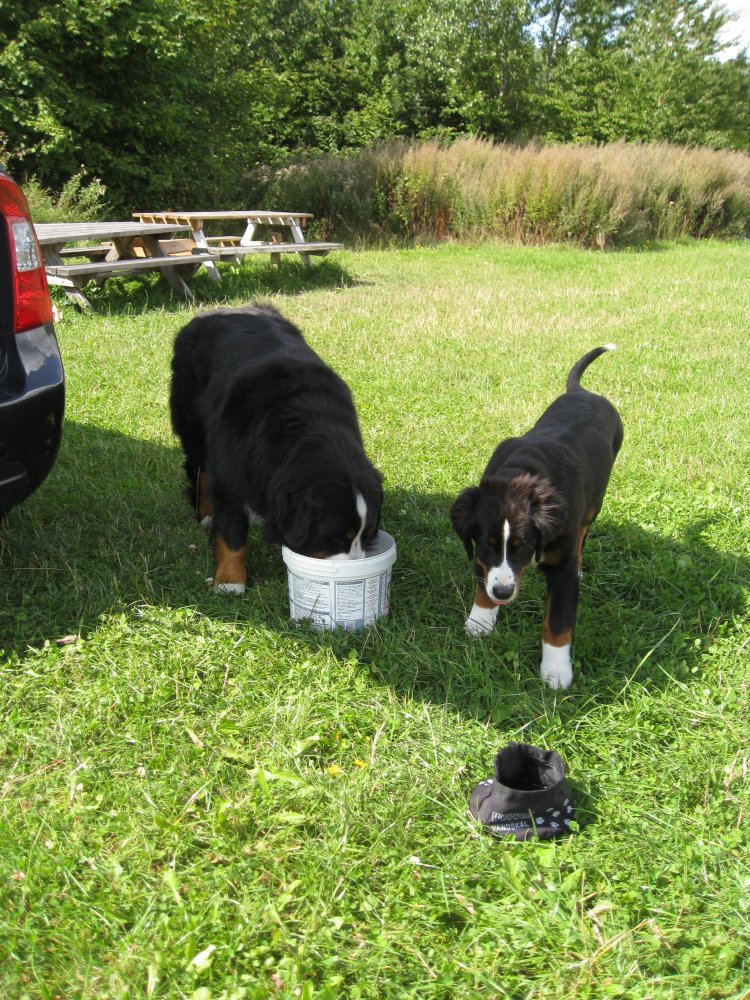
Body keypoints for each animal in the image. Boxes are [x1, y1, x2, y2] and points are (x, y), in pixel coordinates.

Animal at [170, 304, 383, 592]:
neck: (309, 425)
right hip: (193, 424)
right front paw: (230, 581)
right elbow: (231, 531)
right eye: (337, 539)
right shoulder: (231, 470)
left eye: (368, 535)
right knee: (199, 467)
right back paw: (205, 514)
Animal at [450, 345, 623, 690]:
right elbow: (482, 578)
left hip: (594, 504)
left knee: (583, 532)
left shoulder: (561, 569)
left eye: (524, 546)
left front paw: (556, 671)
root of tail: (583, 392)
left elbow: (558, 621)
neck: (522, 474)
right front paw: (480, 621)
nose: (503, 593)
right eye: (487, 544)